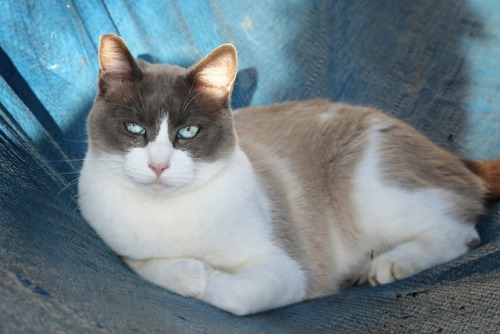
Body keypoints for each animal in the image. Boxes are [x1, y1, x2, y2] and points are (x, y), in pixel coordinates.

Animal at [78, 34, 500, 316]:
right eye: (135, 129)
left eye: (188, 132)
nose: (159, 166)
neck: (169, 215)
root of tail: (449, 154)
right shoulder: (122, 245)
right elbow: (150, 265)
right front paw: (191, 270)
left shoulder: (288, 268)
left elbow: (233, 295)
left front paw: (205, 275)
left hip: (372, 192)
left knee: (461, 232)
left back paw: (385, 266)